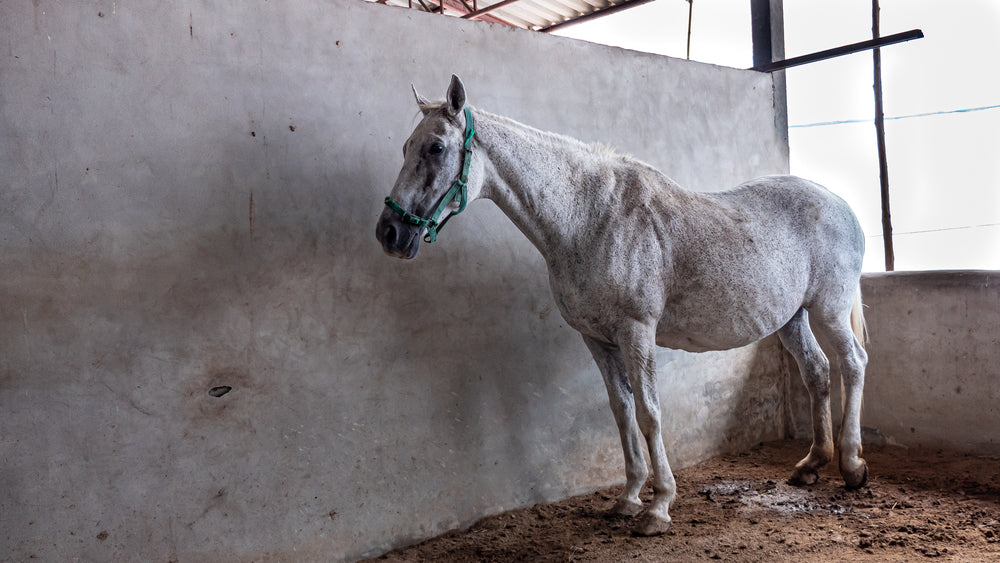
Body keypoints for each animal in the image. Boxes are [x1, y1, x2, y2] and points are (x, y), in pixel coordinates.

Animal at [375, 75, 869, 536]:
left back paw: (851, 465)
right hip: (791, 318)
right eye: (405, 147)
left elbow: (649, 413)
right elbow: (622, 412)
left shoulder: (636, 331)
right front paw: (629, 497)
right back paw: (811, 465)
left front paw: (659, 506)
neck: (590, 218)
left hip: (828, 310)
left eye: (436, 147)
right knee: (817, 371)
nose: (389, 233)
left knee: (853, 363)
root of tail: (840, 203)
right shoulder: (596, 339)